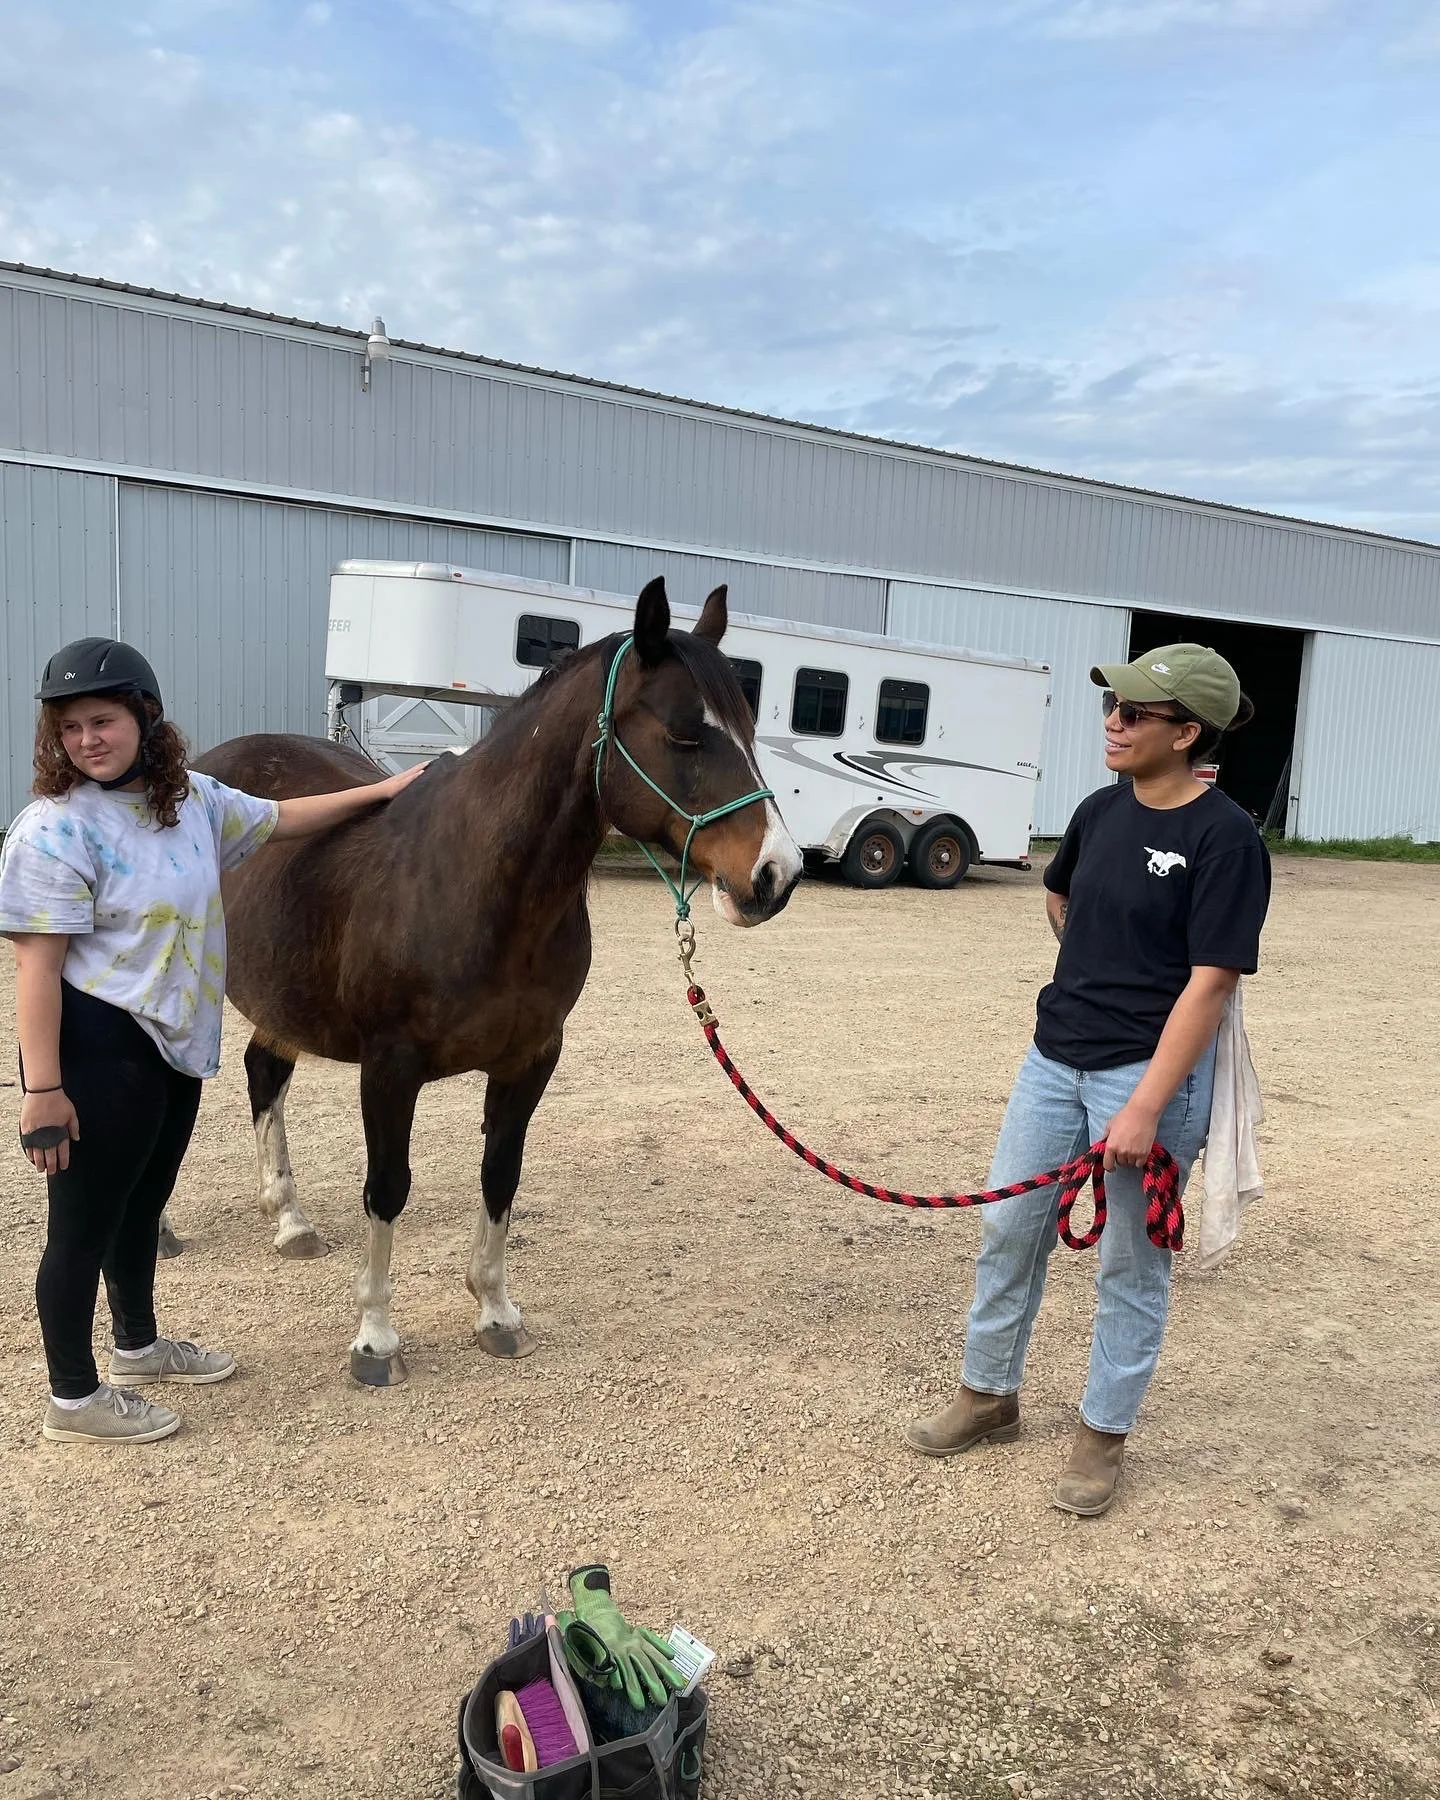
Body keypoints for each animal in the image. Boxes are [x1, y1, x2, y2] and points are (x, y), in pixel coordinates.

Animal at [180, 578, 802, 1385]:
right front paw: (375, 1339)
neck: (476, 881)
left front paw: (495, 1313)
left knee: (264, 1071)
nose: (777, 874)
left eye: (750, 728)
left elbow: (500, 1175)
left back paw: (290, 1221)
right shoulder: (389, 1066)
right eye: (685, 732)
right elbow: (388, 1187)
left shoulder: (531, 1058)